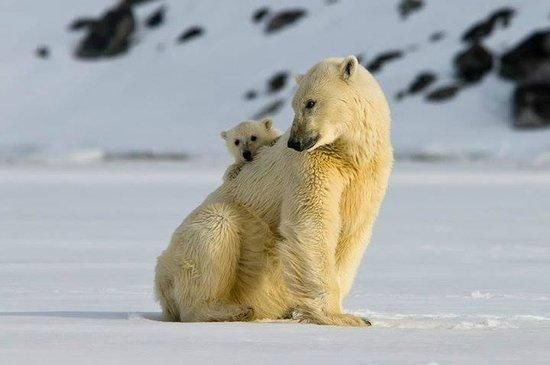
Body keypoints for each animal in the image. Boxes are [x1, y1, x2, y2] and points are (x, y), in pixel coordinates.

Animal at [155, 55, 394, 326]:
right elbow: (313, 220)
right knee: (215, 231)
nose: (295, 142)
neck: (349, 152)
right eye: (294, 105)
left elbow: (352, 230)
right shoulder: (312, 164)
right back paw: (227, 310)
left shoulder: (368, 174)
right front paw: (342, 317)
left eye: (310, 102)